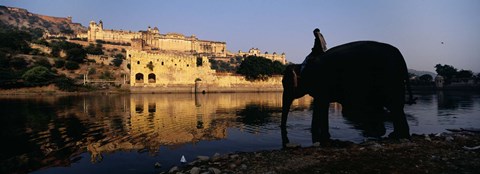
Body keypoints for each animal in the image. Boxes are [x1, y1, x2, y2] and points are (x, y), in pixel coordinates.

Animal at [282, 40, 416, 143]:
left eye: (285, 83)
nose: (283, 129)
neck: (302, 66)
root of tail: (402, 59)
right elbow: (318, 107)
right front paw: (315, 133)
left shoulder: (323, 85)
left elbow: (322, 106)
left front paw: (324, 137)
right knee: (395, 108)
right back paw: (396, 136)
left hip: (390, 79)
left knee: (394, 106)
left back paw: (398, 136)